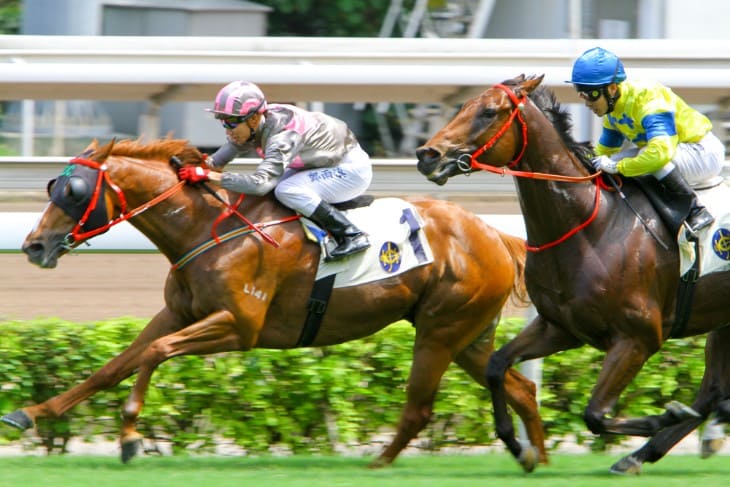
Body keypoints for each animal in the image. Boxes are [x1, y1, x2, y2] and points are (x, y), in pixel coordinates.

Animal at [1, 138, 544, 468]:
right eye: (54, 185)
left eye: (74, 192)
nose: (33, 245)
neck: (208, 228)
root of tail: (496, 234)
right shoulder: (178, 313)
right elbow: (111, 367)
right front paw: (29, 412)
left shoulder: (239, 326)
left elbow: (154, 354)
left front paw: (131, 436)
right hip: (466, 334)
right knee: (519, 388)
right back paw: (533, 456)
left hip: (440, 331)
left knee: (419, 408)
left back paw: (379, 463)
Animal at [416, 74, 728, 474]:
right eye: (463, 105)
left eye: (488, 111)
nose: (428, 155)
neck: (591, 225)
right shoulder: (560, 327)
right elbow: (496, 365)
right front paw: (519, 447)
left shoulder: (638, 337)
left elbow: (595, 413)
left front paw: (667, 413)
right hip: (722, 322)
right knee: (712, 392)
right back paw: (644, 454)